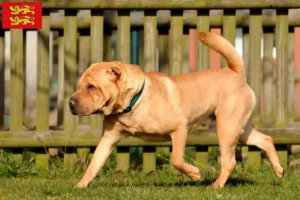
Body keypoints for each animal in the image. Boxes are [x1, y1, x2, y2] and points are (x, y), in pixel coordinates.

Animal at [69, 32, 284, 188]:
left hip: (226, 128)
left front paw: (195, 174)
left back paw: (216, 186)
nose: (70, 102)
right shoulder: (109, 139)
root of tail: (235, 73)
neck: (133, 101)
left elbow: (177, 160)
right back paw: (279, 170)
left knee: (230, 162)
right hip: (239, 127)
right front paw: (80, 186)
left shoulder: (180, 128)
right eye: (79, 85)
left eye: (91, 87)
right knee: (266, 139)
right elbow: (94, 164)